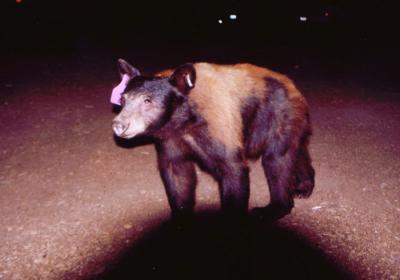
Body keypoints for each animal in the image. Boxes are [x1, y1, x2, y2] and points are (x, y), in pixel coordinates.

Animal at [111, 59, 314, 221]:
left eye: (147, 101)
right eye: (123, 99)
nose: (119, 125)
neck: (184, 119)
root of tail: (293, 86)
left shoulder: (218, 125)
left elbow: (233, 170)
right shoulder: (170, 138)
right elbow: (176, 172)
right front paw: (180, 217)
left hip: (279, 115)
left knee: (277, 159)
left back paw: (273, 208)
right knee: (295, 151)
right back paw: (304, 187)